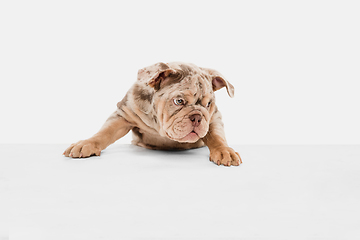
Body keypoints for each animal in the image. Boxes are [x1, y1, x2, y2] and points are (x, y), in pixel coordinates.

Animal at [63, 62, 242, 166]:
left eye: (208, 104)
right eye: (179, 101)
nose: (197, 117)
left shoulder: (214, 118)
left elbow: (216, 136)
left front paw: (224, 151)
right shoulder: (124, 114)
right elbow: (104, 132)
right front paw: (86, 143)